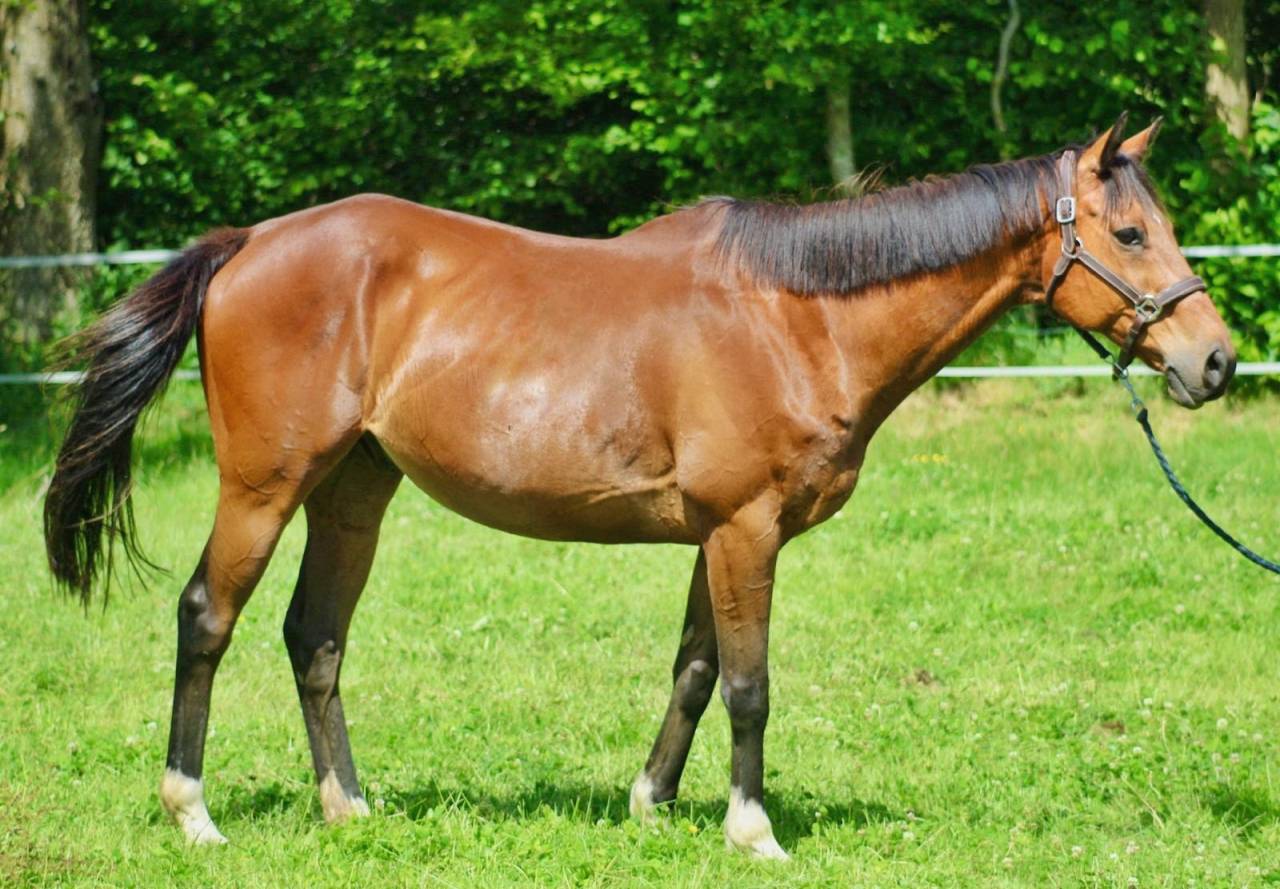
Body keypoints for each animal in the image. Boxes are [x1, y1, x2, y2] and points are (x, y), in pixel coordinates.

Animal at [43, 115, 1235, 859]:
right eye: (1131, 232)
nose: (1214, 361)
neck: (798, 317)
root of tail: (251, 242)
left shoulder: (718, 535)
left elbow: (694, 671)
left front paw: (651, 805)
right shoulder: (745, 530)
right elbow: (748, 684)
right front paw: (752, 829)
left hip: (353, 492)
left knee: (315, 636)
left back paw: (349, 808)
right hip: (264, 485)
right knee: (209, 616)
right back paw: (193, 812)